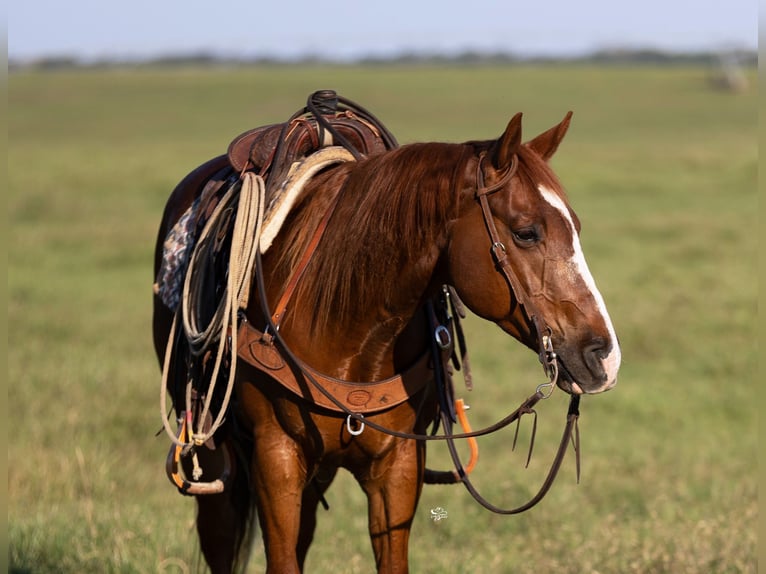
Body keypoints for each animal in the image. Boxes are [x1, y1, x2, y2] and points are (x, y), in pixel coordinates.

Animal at [152, 93, 624, 572]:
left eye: (576, 227)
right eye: (527, 232)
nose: (604, 355)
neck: (346, 325)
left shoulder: (397, 467)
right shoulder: (276, 457)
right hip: (215, 450)